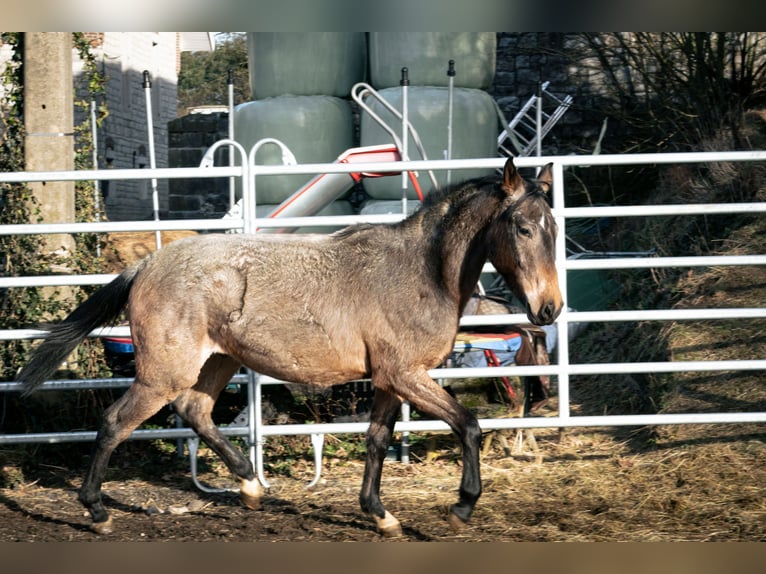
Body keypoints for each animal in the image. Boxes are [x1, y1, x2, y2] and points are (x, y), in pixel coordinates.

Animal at [18, 158, 564, 540]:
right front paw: (462, 507)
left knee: (194, 411)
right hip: (164, 371)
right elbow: (469, 426)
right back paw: (97, 511)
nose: (550, 309)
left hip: (218, 361)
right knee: (115, 422)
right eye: (523, 228)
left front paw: (380, 515)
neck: (421, 272)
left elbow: (376, 441)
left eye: (554, 228)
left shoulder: (390, 381)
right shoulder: (408, 375)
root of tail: (147, 264)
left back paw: (251, 486)